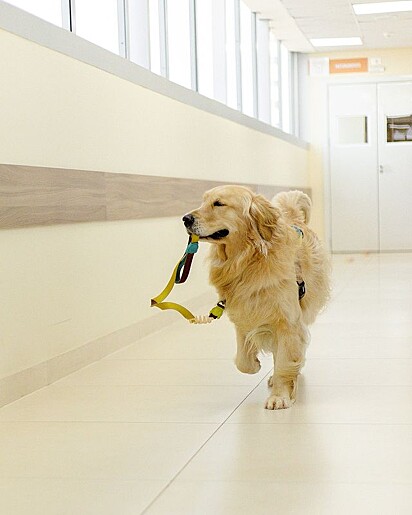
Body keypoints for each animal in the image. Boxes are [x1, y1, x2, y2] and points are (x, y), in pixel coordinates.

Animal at [182, 185, 330, 412]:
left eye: (219, 203)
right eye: (203, 201)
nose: (185, 219)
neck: (249, 260)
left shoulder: (288, 321)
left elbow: (286, 360)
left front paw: (280, 395)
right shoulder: (243, 313)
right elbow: (242, 362)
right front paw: (255, 364)